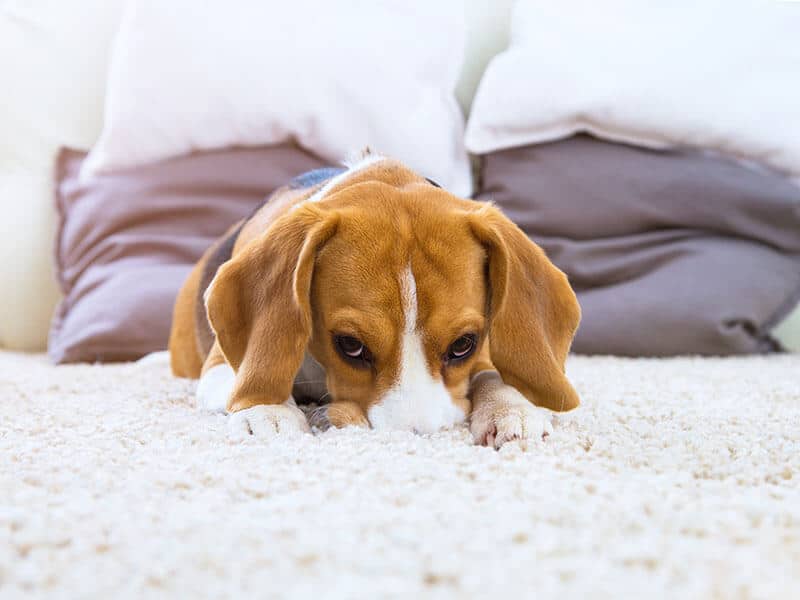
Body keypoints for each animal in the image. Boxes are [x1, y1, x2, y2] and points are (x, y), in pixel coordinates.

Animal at [170, 152, 580, 448]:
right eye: (350, 345)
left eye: (464, 344)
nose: (414, 439)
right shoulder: (219, 366)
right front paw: (268, 410)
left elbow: (493, 373)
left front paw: (512, 407)